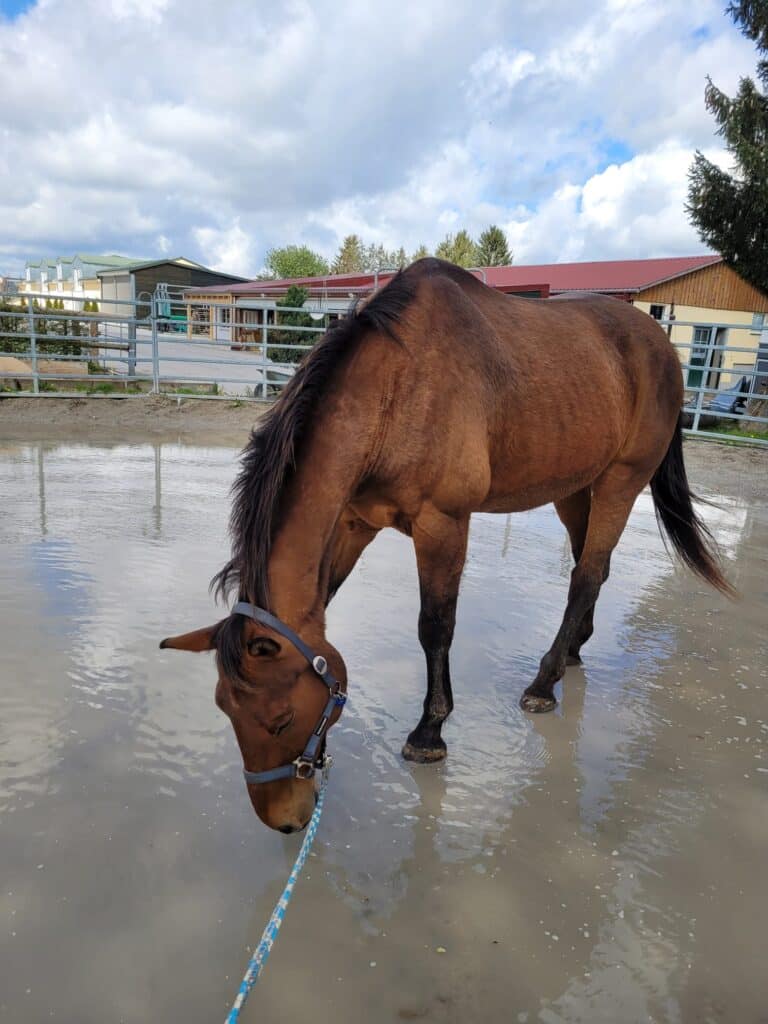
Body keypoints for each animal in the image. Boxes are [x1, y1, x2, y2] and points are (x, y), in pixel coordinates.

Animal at [160, 257, 732, 833]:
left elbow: (435, 627)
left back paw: (543, 683)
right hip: (574, 487)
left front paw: (429, 733)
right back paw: (571, 652)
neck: (396, 390)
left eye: (280, 719)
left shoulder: (444, 523)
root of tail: (661, 344)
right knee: (589, 569)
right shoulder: (353, 523)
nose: (286, 820)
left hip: (621, 481)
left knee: (587, 574)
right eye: (225, 709)